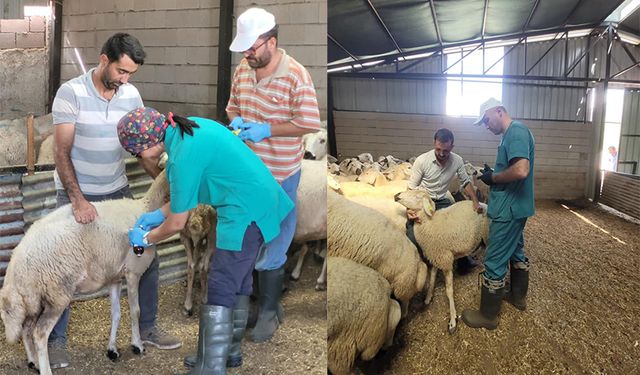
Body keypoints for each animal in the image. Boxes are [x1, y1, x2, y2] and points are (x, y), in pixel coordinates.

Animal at [0, 171, 170, 375]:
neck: (146, 207)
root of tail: (16, 264)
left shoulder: (114, 277)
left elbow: (116, 313)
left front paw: (112, 350)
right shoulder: (133, 272)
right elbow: (135, 311)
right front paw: (137, 345)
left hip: (34, 298)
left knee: (26, 329)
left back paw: (34, 362)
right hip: (57, 293)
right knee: (39, 333)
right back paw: (45, 369)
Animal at [392, 191, 488, 334]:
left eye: (417, 196)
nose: (397, 195)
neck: (429, 223)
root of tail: (483, 204)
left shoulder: (445, 260)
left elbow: (449, 291)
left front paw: (453, 320)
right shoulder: (435, 257)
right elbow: (431, 280)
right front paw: (428, 298)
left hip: (488, 236)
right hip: (480, 238)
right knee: (482, 247)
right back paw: (475, 256)